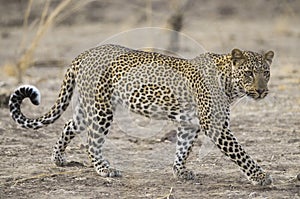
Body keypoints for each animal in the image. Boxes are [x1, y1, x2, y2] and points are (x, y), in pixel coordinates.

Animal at [8, 43, 274, 185]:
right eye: (249, 73)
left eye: (266, 72)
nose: (262, 90)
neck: (230, 85)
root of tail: (84, 53)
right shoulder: (215, 125)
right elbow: (241, 154)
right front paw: (260, 177)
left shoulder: (190, 124)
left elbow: (183, 148)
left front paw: (179, 171)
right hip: (102, 109)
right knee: (92, 141)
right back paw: (105, 169)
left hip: (87, 106)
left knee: (68, 126)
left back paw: (59, 159)